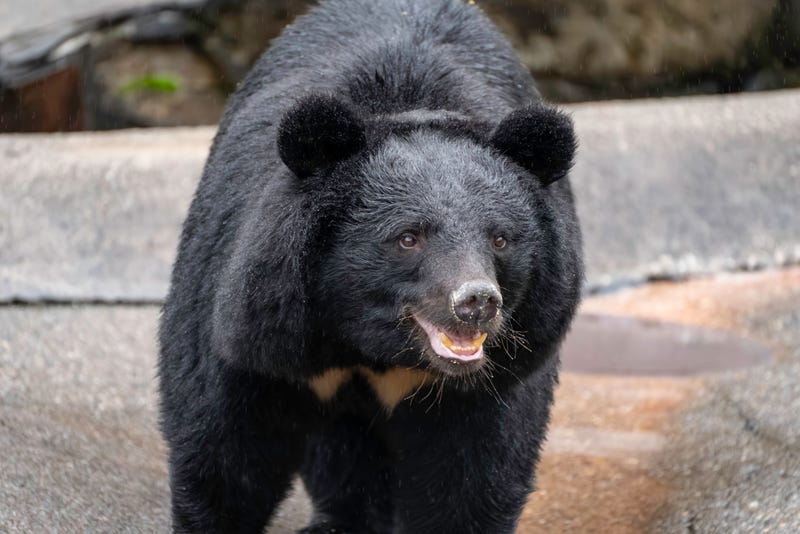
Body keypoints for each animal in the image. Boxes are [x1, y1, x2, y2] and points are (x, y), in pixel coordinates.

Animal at [158, 0, 583, 532]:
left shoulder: (503, 367)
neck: (373, 344)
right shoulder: (260, 319)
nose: (476, 301)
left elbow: (475, 472)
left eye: (500, 238)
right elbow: (224, 442)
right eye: (408, 238)